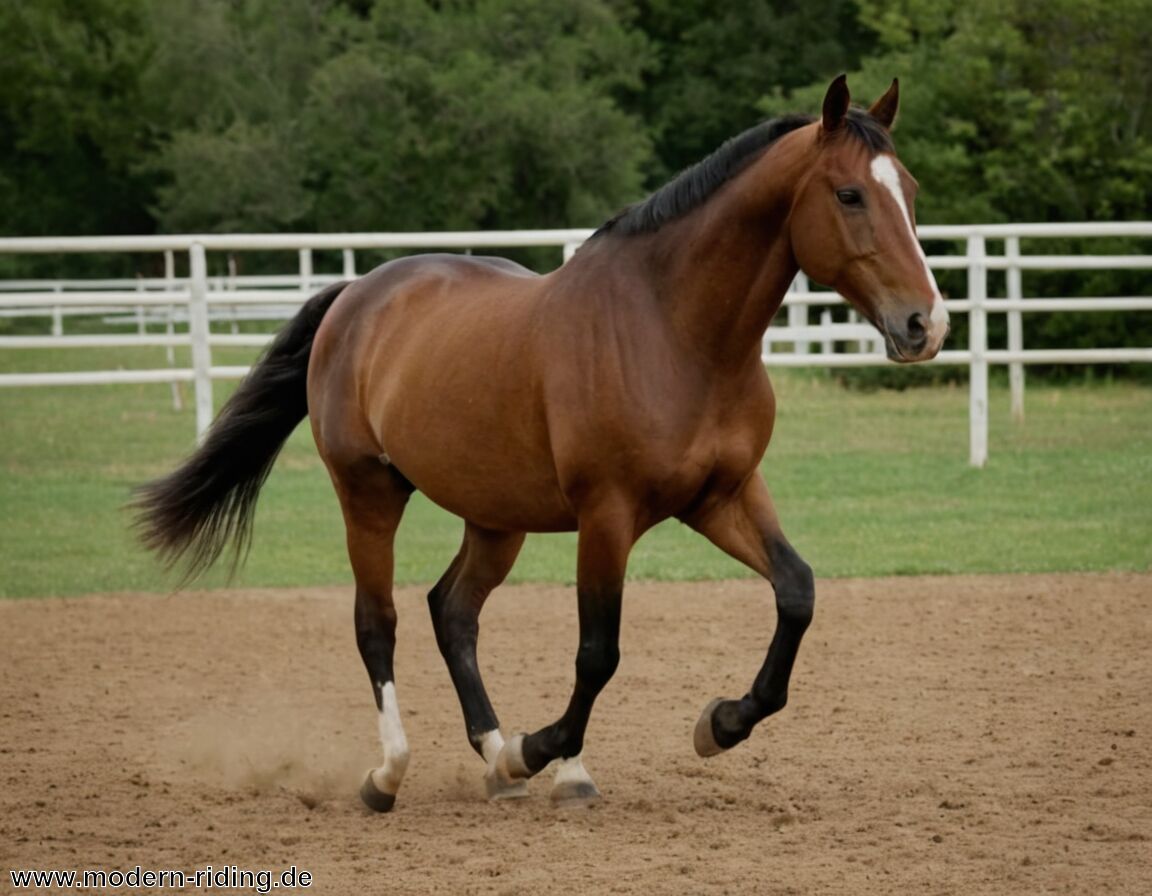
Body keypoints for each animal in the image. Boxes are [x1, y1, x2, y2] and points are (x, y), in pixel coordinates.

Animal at [134, 76, 948, 812]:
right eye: (849, 194)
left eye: (909, 191)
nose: (925, 324)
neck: (674, 332)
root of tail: (357, 296)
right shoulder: (607, 515)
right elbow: (598, 652)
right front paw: (550, 755)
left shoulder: (724, 496)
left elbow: (797, 592)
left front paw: (718, 725)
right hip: (368, 492)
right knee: (378, 624)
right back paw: (391, 775)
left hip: (496, 517)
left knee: (452, 612)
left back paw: (496, 758)